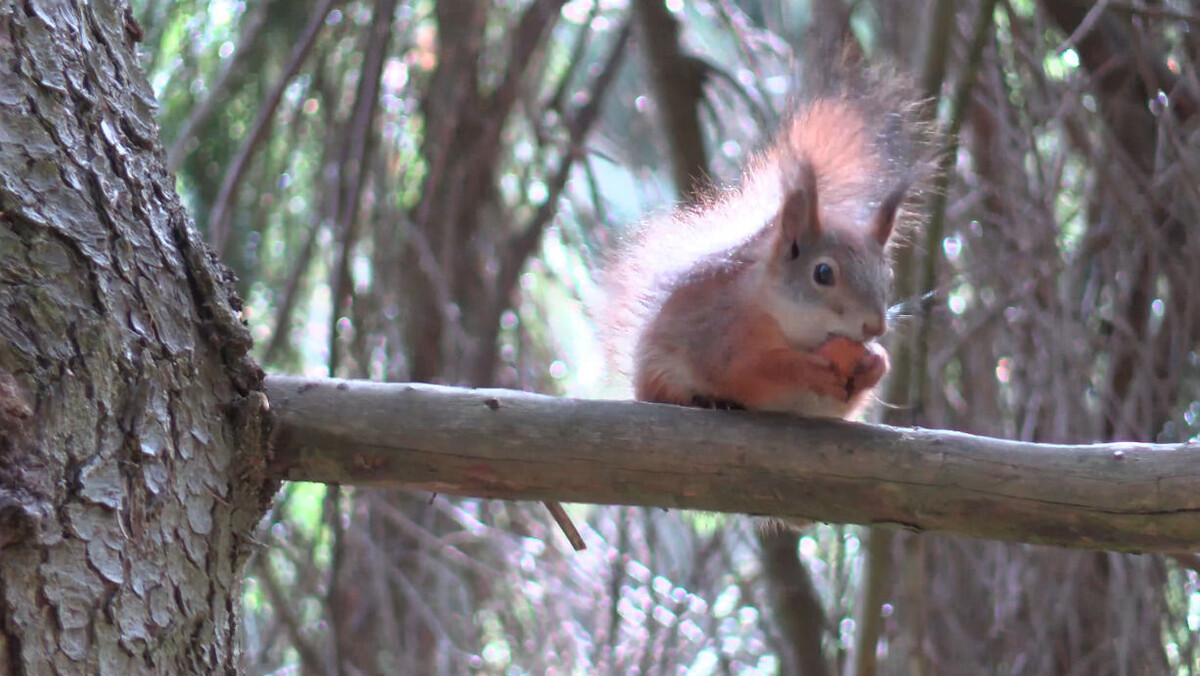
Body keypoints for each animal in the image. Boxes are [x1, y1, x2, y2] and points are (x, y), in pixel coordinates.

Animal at [600, 86, 926, 420]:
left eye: (888, 275)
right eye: (823, 273)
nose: (875, 326)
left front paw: (876, 363)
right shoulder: (727, 334)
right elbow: (753, 370)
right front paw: (807, 370)